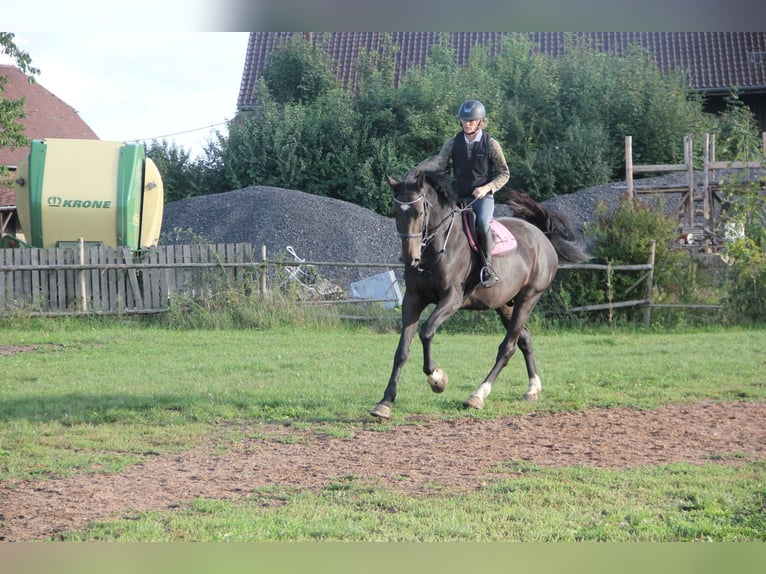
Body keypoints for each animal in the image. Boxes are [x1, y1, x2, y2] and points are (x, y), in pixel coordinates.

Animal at [369, 160, 589, 420]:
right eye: (396, 212)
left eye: (420, 212)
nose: (409, 258)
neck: (437, 247)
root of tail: (541, 236)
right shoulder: (413, 300)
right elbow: (402, 349)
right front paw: (385, 401)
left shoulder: (452, 299)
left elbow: (426, 332)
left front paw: (437, 379)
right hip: (505, 304)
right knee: (524, 339)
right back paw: (532, 389)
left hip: (528, 299)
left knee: (507, 347)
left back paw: (478, 395)